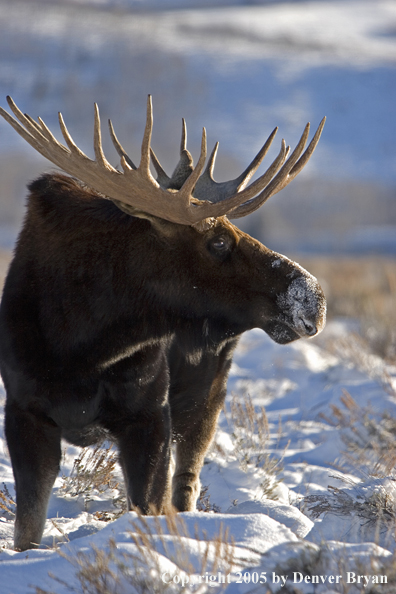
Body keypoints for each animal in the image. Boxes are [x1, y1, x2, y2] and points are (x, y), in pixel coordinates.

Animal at [0, 95, 326, 548]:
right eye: (218, 242)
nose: (313, 298)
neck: (81, 343)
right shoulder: (24, 412)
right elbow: (27, 529)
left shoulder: (151, 415)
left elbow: (149, 508)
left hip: (206, 398)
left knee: (186, 484)